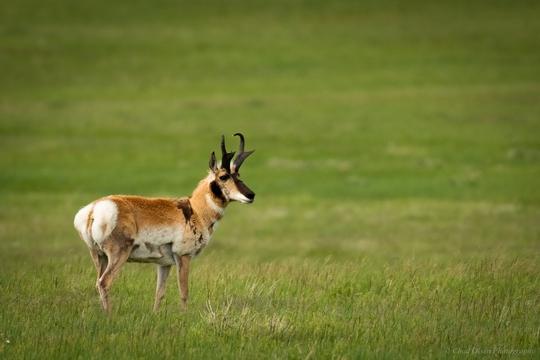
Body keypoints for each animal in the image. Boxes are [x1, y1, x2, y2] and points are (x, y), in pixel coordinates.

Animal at [73, 134, 255, 310]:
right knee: (104, 283)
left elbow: (159, 293)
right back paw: (110, 316)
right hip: (118, 255)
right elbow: (184, 293)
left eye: (238, 176)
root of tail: (93, 209)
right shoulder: (184, 256)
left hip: (99, 256)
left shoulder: (164, 264)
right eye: (224, 176)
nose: (251, 195)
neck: (195, 210)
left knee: (98, 282)